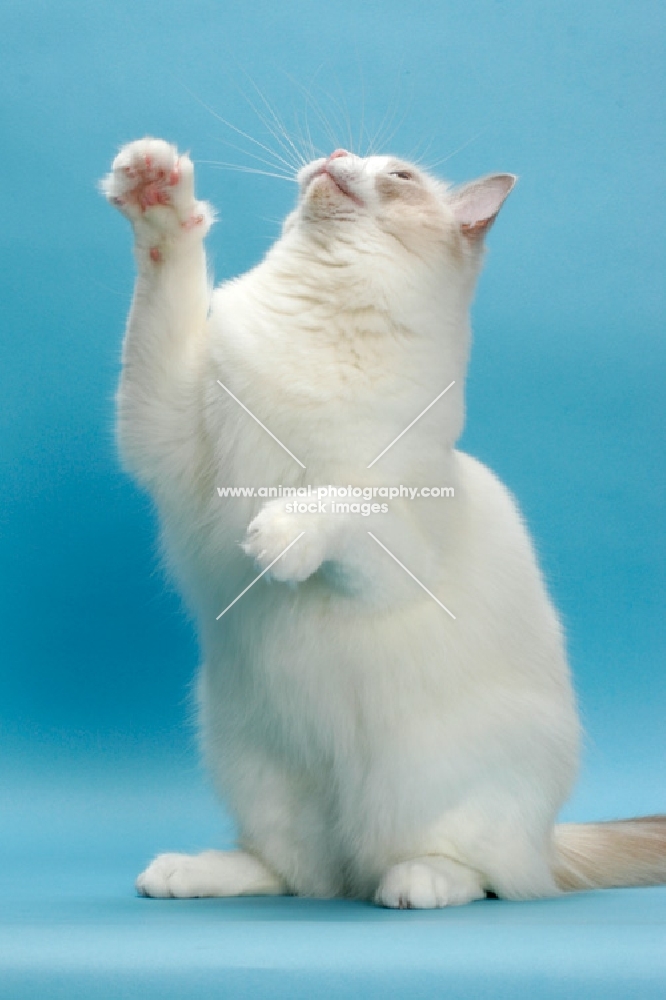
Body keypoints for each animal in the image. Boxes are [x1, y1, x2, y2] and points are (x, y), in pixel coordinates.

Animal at [100, 135, 664, 908]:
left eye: (397, 175)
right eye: (353, 155)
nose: (338, 151)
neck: (320, 323)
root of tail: (549, 844)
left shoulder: (392, 544)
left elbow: (340, 503)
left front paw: (278, 537)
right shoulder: (162, 432)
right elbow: (166, 282)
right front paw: (155, 187)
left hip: (428, 790)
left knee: (471, 873)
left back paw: (419, 883)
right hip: (255, 771)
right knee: (297, 872)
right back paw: (184, 872)